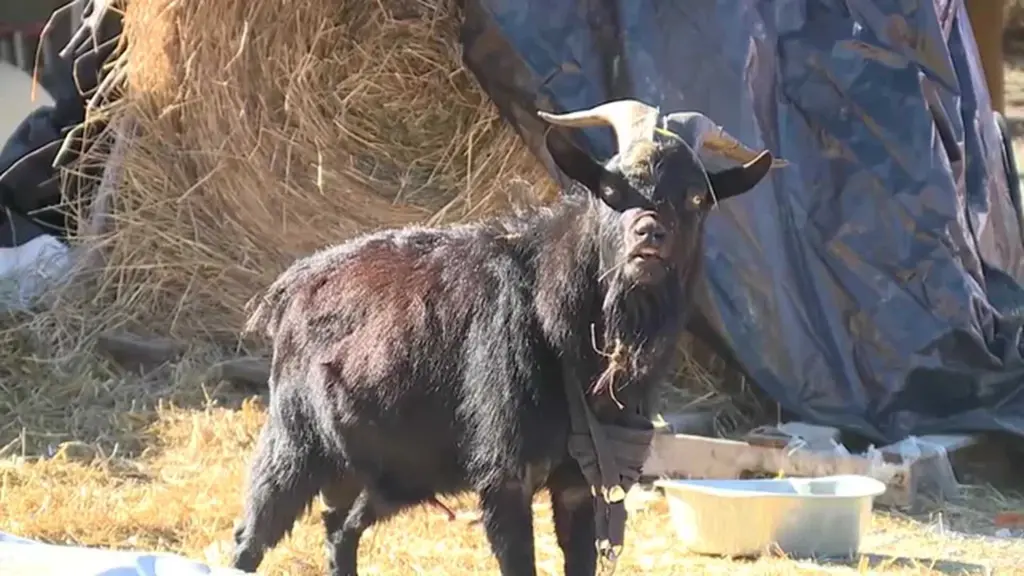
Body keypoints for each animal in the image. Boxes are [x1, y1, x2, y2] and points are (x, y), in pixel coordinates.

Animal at [230, 99, 782, 576]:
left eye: (697, 198)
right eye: (611, 190)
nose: (650, 235)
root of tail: (295, 283)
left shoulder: (582, 481)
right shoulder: (506, 474)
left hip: (394, 470)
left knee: (340, 527)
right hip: (296, 441)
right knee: (252, 535)